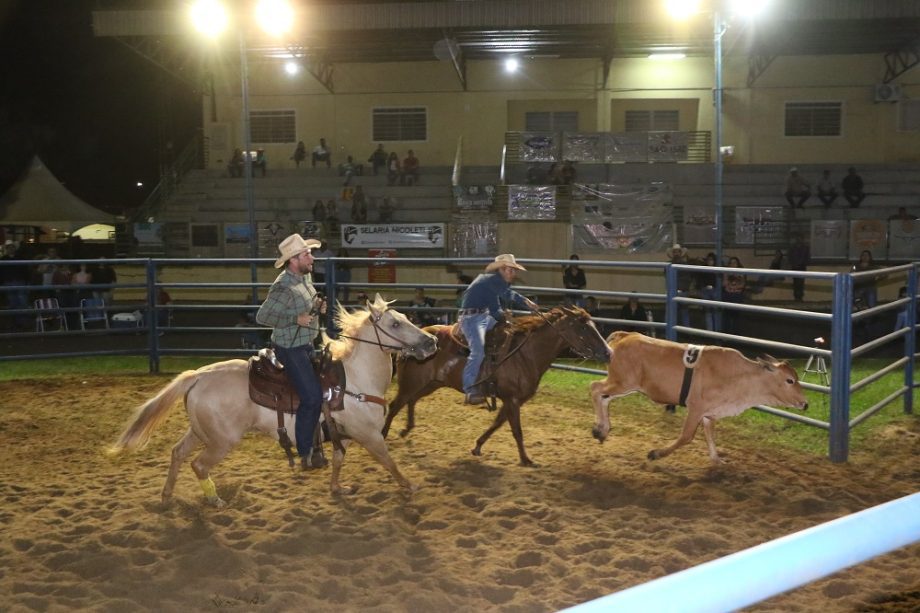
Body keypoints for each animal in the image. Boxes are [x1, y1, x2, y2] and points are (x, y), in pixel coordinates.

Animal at [108, 294, 438, 504]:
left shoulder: (342, 434)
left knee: (177, 454)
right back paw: (215, 500)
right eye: (395, 324)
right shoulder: (369, 435)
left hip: (201, 432)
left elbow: (338, 461)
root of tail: (198, 376)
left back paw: (166, 496)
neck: (355, 380)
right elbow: (388, 462)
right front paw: (410, 486)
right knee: (199, 465)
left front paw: (336, 489)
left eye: (407, 318)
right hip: (221, 440)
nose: (431, 341)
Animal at [380, 304, 612, 466]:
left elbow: (497, 423)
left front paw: (477, 446)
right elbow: (516, 430)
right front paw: (526, 459)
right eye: (583, 327)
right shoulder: (512, 399)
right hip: (412, 382)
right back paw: (384, 434)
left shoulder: (512, 400)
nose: (608, 352)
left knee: (410, 401)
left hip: (430, 383)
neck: (524, 354)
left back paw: (407, 429)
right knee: (395, 405)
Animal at [588, 332, 804, 462]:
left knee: (604, 398)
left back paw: (602, 430)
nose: (805, 403)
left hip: (625, 385)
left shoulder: (709, 413)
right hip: (622, 382)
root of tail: (625, 335)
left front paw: (717, 460)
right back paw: (599, 429)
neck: (738, 375)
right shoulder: (696, 408)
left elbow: (710, 436)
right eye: (790, 380)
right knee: (595, 388)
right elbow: (686, 436)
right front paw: (656, 453)